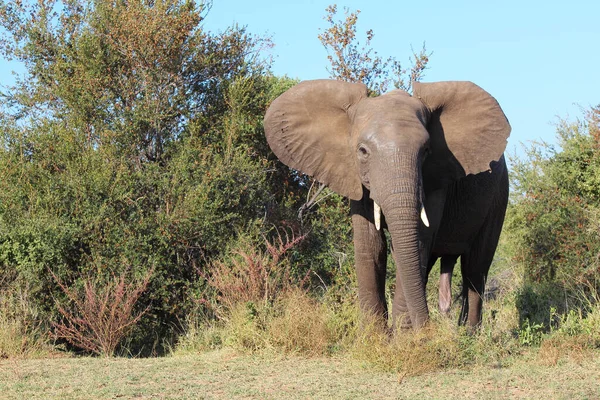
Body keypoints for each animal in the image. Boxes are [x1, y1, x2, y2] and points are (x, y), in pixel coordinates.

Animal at [264, 79, 510, 330]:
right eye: (362, 151)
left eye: (426, 151)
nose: (428, 328)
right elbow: (370, 245)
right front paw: (374, 335)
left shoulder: (436, 179)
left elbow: (418, 243)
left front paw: (403, 336)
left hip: (499, 195)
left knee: (475, 270)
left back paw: (470, 334)